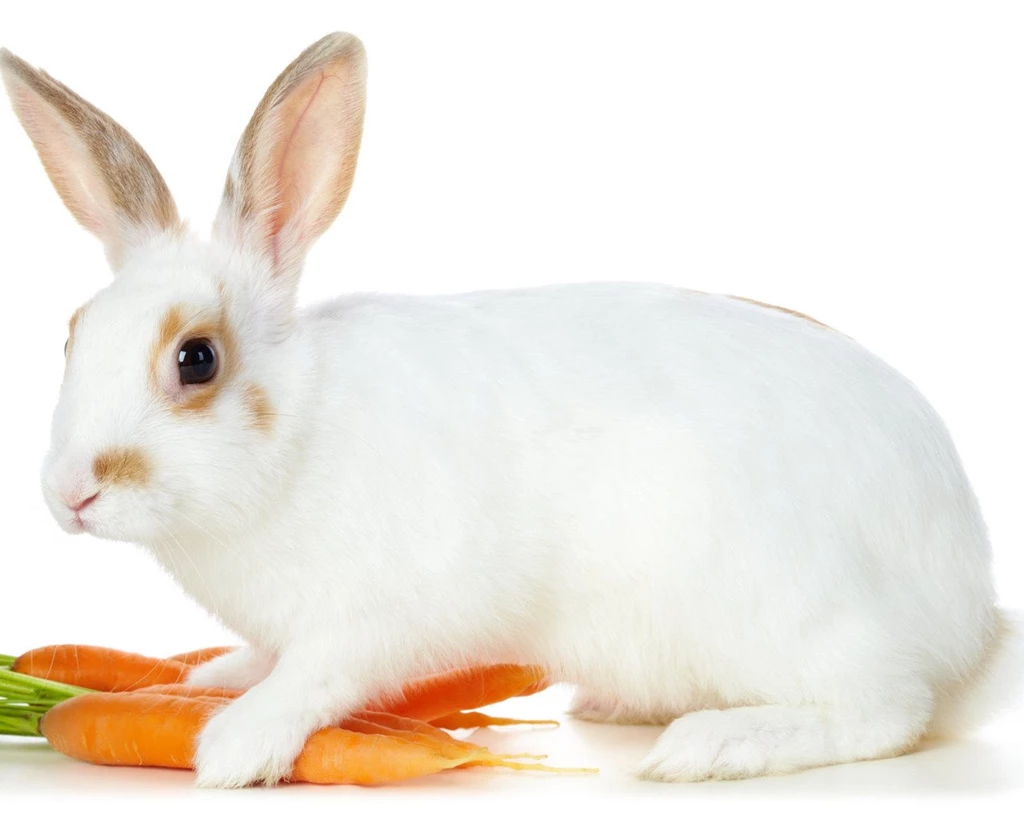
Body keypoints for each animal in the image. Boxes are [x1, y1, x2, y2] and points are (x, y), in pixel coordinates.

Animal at [2, 32, 1020, 789]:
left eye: (197, 358)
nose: (70, 494)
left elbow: (322, 673)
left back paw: (711, 743)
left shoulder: (382, 611)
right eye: (72, 333)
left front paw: (235, 743)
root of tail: (967, 609)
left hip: (795, 615)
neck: (297, 434)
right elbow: (268, 656)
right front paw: (213, 678)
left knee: (885, 712)